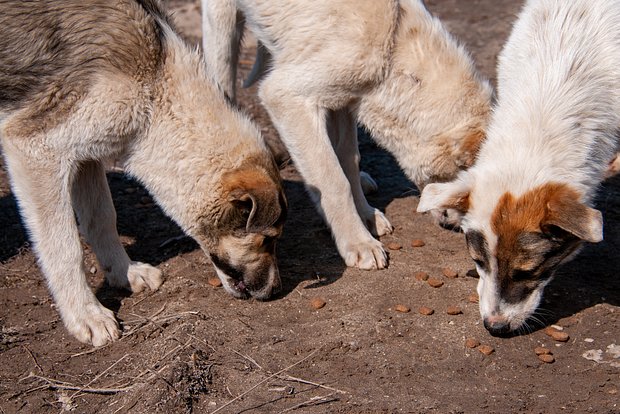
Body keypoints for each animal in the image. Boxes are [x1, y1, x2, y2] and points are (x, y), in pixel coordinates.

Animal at [0, 0, 286, 346]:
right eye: (268, 239)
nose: (276, 290)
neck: (156, 83)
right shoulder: (34, 149)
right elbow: (65, 248)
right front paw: (85, 315)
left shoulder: (84, 154)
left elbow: (102, 219)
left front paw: (124, 272)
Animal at [201, 0, 492, 270]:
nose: (457, 226)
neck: (391, 49)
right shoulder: (286, 96)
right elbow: (334, 181)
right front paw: (358, 242)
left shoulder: (346, 98)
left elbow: (349, 160)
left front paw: (366, 215)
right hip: (223, 29)